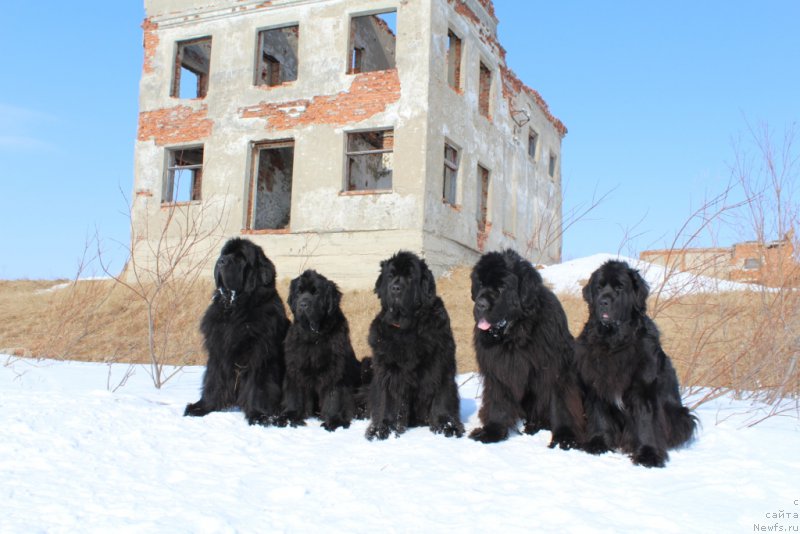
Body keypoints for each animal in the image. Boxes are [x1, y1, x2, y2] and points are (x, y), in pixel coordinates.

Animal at [184, 239, 288, 428]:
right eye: (224, 253)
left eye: (241, 258)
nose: (221, 261)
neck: (236, 310)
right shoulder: (217, 352)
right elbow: (213, 380)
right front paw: (201, 407)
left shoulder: (259, 355)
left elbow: (258, 385)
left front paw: (259, 415)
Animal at [282, 270, 366, 434]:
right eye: (299, 292)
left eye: (316, 293)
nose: (303, 304)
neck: (314, 336)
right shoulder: (296, 367)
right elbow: (295, 393)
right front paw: (291, 416)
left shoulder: (334, 370)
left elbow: (334, 396)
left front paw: (334, 421)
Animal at [362, 253, 462, 442]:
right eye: (390, 276)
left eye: (410, 277)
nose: (395, 288)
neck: (407, 327)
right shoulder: (386, 368)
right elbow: (386, 399)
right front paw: (380, 429)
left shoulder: (441, 363)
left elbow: (443, 396)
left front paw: (447, 425)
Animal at [472, 249, 584, 450]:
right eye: (481, 283)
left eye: (502, 287)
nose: (480, 304)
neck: (517, 334)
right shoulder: (498, 370)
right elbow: (497, 402)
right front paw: (492, 431)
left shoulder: (557, 369)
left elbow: (561, 404)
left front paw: (564, 438)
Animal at [580, 260, 696, 468]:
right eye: (599, 287)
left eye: (619, 287)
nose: (603, 301)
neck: (614, 342)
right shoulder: (597, 382)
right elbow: (599, 415)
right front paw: (597, 444)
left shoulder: (642, 388)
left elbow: (645, 421)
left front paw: (648, 455)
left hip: (680, 415)